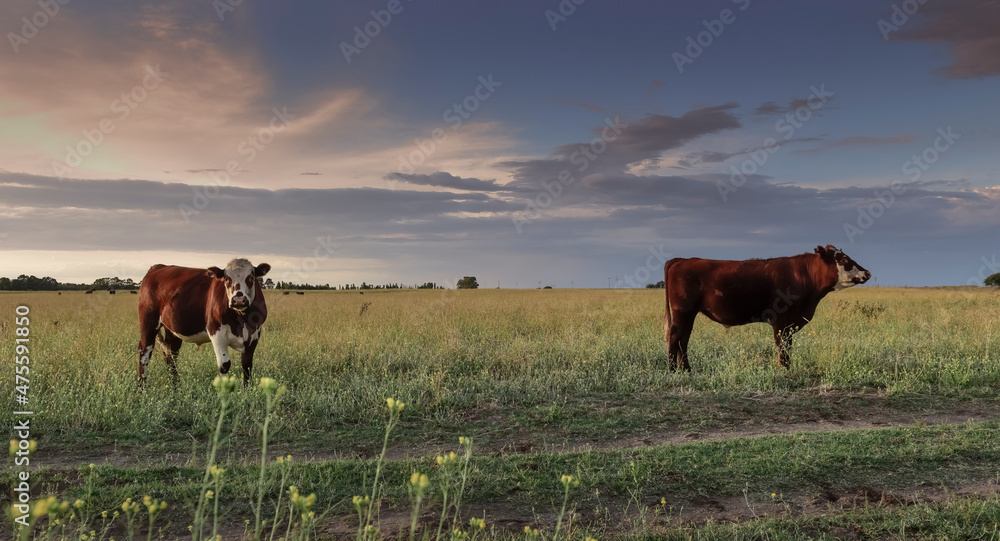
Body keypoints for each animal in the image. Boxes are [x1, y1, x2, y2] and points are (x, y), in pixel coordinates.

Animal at [136, 258, 271, 385]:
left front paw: (246, 391)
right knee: (145, 352)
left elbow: (247, 365)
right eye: (227, 279)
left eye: (251, 277)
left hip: (171, 329)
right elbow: (224, 365)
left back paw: (175, 386)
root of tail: (157, 267)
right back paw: (141, 388)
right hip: (148, 323)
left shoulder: (254, 334)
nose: (238, 300)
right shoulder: (216, 333)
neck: (242, 318)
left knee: (171, 353)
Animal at [664, 245, 870, 371]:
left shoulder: (790, 324)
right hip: (683, 311)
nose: (867, 272)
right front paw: (784, 370)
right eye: (843, 260)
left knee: (683, 339)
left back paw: (687, 370)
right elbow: (782, 348)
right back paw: (673, 370)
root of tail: (682, 259)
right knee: (675, 337)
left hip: (689, 314)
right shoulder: (781, 322)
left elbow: (787, 347)